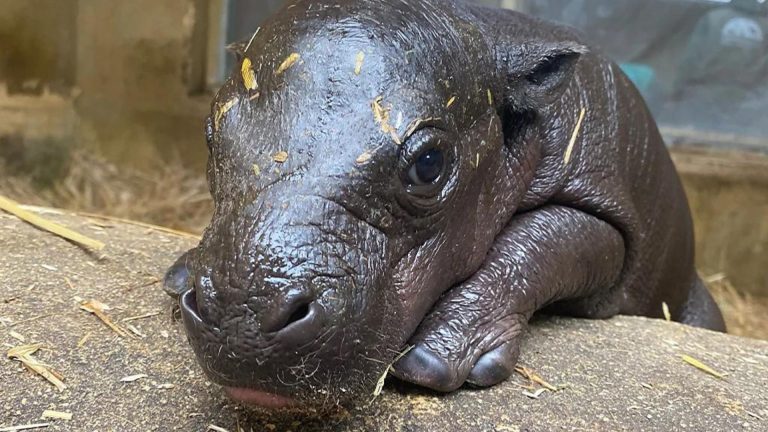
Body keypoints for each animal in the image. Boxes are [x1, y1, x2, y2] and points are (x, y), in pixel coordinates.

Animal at [164, 0, 726, 409]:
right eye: (212, 134)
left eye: (429, 163)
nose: (242, 315)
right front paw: (180, 271)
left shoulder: (604, 211)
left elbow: (544, 239)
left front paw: (432, 361)